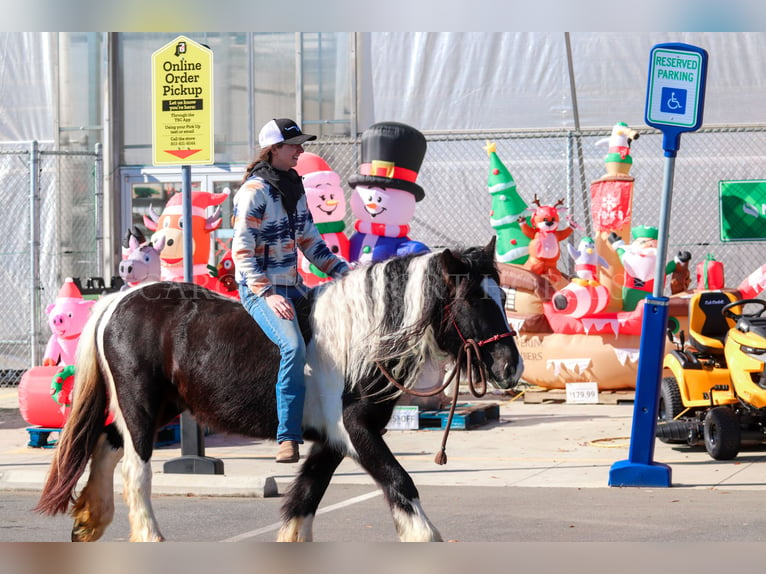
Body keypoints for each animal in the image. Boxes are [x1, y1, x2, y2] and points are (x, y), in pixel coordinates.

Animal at [37, 238, 528, 544]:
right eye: (475, 300)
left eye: (502, 296)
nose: (511, 367)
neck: (359, 338)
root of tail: (115, 301)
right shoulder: (356, 431)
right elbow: (399, 481)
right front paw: (425, 536)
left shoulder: (333, 440)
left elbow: (306, 496)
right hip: (141, 404)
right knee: (134, 470)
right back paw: (149, 536)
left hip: (158, 408)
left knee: (106, 443)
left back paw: (88, 521)